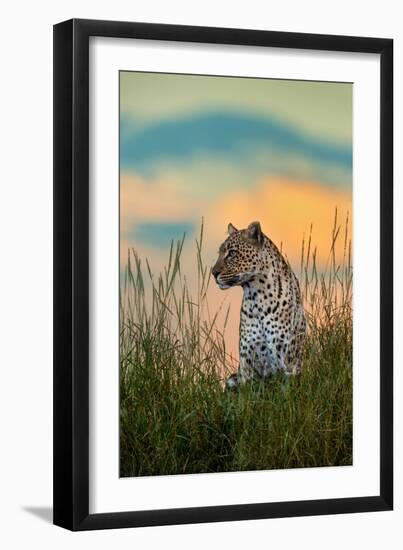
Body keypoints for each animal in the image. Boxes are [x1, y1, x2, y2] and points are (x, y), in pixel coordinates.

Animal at [211, 222, 306, 390]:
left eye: (232, 253)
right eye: (220, 252)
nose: (213, 273)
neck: (257, 298)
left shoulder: (286, 364)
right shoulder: (247, 365)